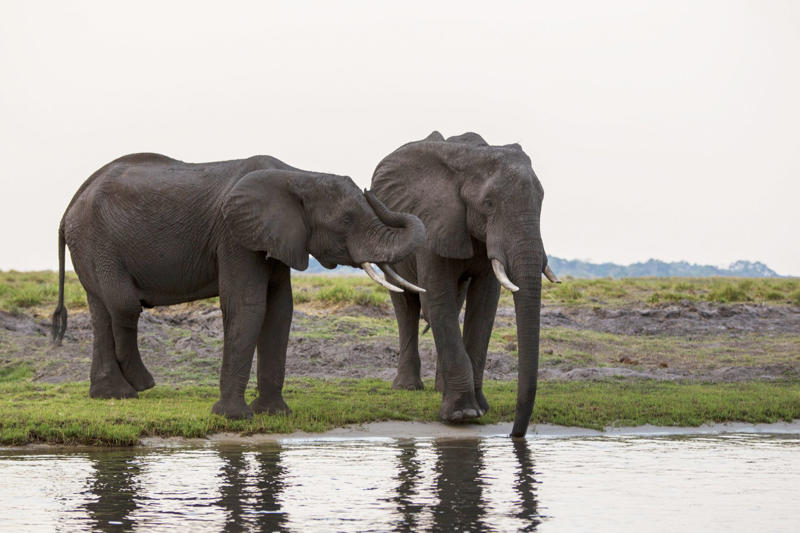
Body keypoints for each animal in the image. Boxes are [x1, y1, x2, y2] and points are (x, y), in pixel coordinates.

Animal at [51, 152, 425, 419]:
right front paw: (233, 417)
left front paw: (274, 414)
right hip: (96, 241)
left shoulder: (274, 238)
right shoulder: (234, 236)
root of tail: (70, 205)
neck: (298, 175)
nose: (369, 189)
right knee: (123, 304)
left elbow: (280, 310)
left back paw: (113, 394)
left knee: (102, 309)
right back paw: (140, 385)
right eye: (346, 220)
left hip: (90, 244)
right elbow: (247, 305)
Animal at [370, 131, 560, 437]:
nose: (514, 434)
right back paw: (408, 387)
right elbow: (438, 298)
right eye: (489, 204)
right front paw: (463, 414)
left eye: (541, 200)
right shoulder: (432, 220)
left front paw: (479, 408)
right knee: (406, 304)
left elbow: (484, 304)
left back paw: (439, 388)